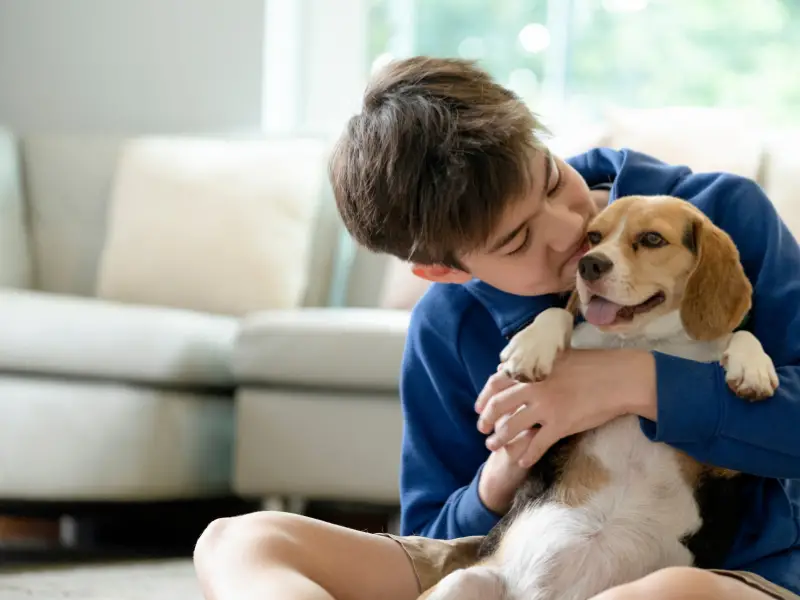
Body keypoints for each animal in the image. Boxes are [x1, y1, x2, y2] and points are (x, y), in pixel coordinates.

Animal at [422, 195, 780, 600]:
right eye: (593, 237)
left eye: (652, 239)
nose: (588, 264)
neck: (643, 340)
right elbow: (558, 313)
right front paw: (531, 347)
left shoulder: (722, 465)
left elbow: (741, 336)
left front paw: (753, 368)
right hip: (464, 580)